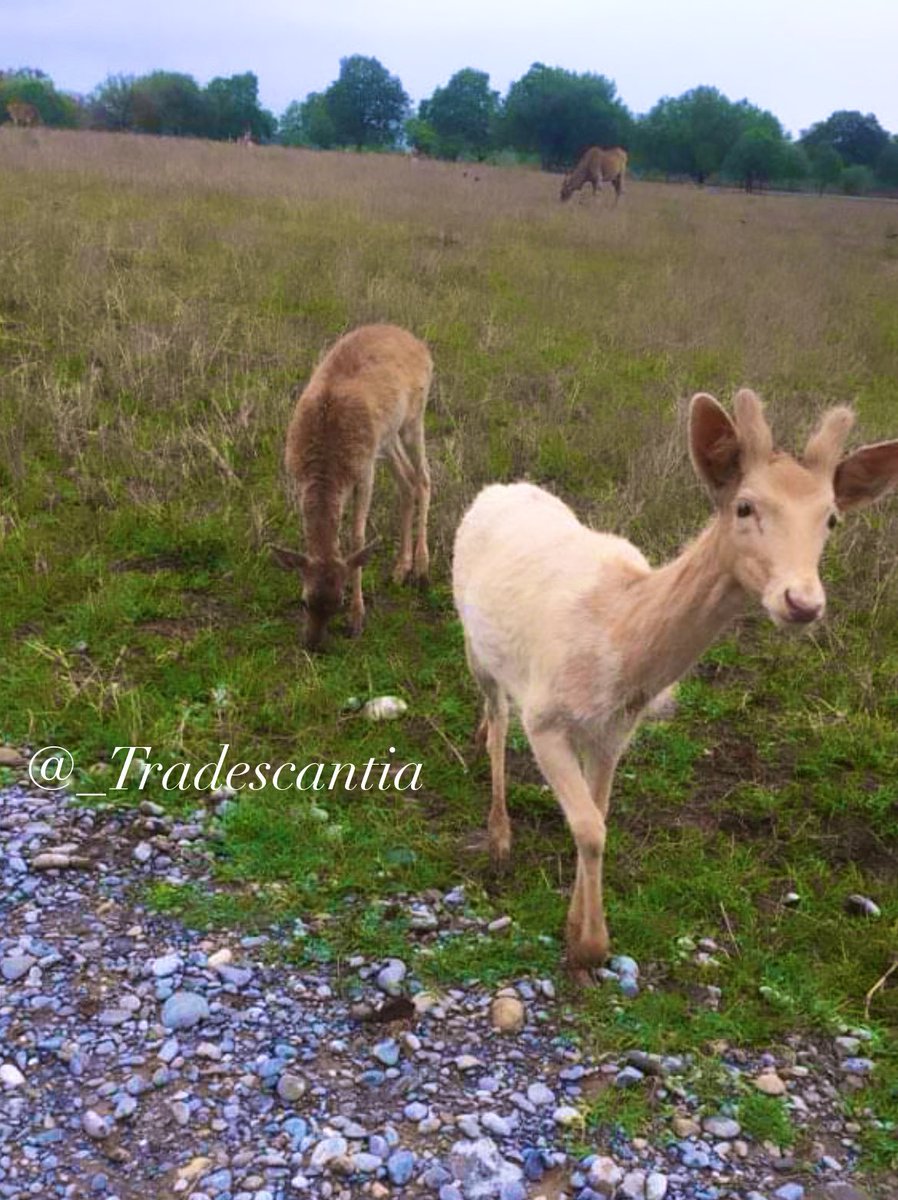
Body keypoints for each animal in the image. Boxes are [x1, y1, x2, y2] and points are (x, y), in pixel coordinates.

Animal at [270, 324, 432, 652]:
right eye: (304, 601)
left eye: (339, 602)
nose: (313, 645)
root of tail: (420, 345)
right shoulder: (296, 476)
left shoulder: (364, 470)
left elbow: (357, 539)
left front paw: (357, 619)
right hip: (386, 437)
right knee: (407, 481)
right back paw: (400, 569)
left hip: (414, 417)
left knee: (424, 477)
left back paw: (421, 569)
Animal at [451, 388, 897, 979]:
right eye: (744, 506)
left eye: (831, 520)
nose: (802, 602)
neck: (620, 641)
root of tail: (498, 488)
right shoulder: (544, 713)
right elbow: (588, 826)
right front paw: (588, 946)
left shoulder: (616, 729)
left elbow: (597, 818)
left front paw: (580, 930)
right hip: (473, 640)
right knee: (497, 714)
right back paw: (499, 832)